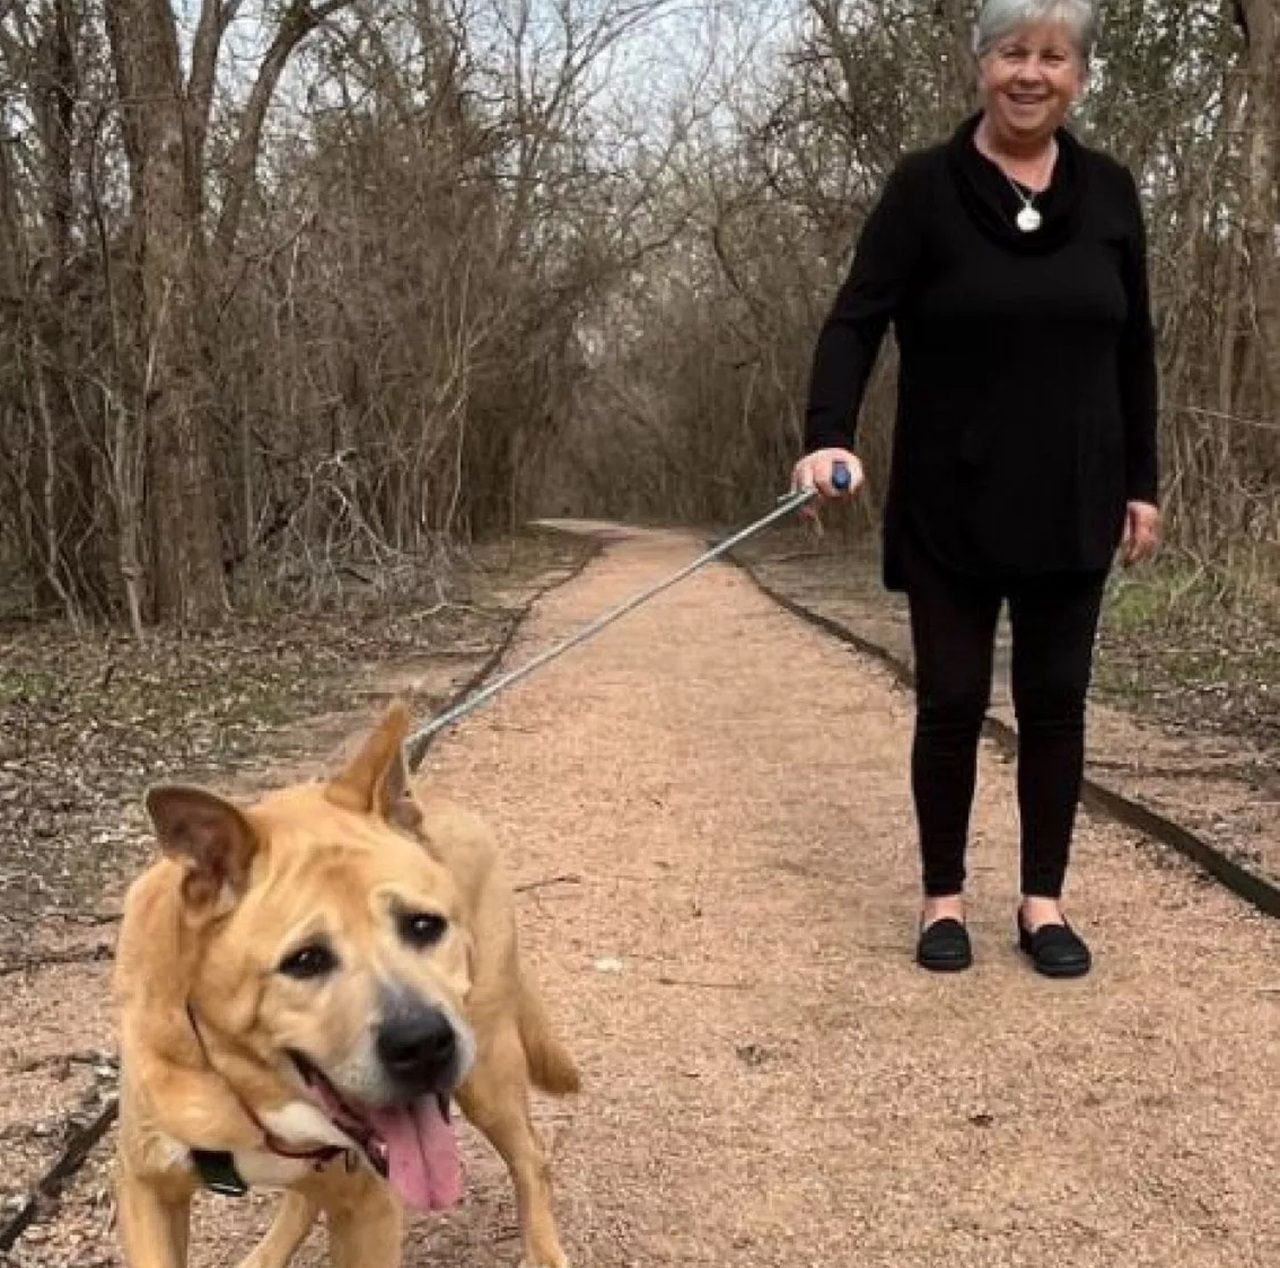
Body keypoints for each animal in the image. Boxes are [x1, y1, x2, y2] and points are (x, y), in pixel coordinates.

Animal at [110, 701, 581, 1264]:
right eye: (305, 960)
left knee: (530, 1155)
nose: (423, 1045)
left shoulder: (369, 1206)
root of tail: (432, 804)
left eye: (423, 925)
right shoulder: (147, 1188)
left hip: (487, 1069)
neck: (249, 1096)